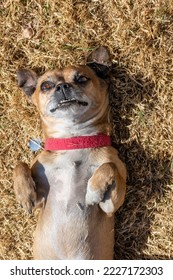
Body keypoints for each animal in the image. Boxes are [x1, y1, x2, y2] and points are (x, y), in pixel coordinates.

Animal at [12, 46, 126, 260]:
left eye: (82, 78)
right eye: (46, 85)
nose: (62, 86)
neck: (74, 141)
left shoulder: (110, 206)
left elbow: (109, 166)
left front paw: (93, 190)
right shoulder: (41, 200)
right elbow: (20, 165)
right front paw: (24, 195)